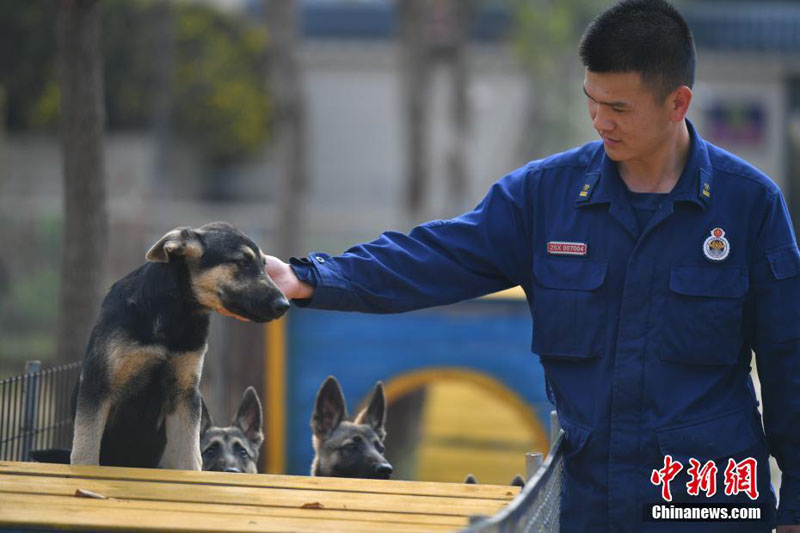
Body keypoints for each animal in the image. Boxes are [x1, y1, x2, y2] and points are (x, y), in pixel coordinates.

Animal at [69, 222, 288, 468]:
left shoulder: (185, 395)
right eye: (242, 262)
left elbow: (191, 458)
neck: (176, 312)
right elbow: (86, 452)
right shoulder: (97, 386)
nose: (284, 305)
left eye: (264, 265)